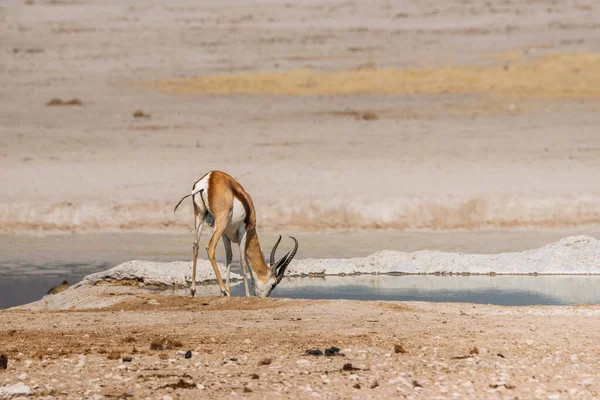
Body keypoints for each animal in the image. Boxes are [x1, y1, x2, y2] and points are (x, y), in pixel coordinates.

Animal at [173, 170, 298, 298]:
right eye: (273, 284)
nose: (263, 297)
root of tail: (209, 178)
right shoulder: (243, 231)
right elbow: (243, 261)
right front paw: (246, 294)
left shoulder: (225, 234)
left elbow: (229, 256)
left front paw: (229, 290)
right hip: (220, 223)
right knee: (210, 247)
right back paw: (223, 290)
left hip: (200, 217)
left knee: (195, 245)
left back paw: (194, 291)